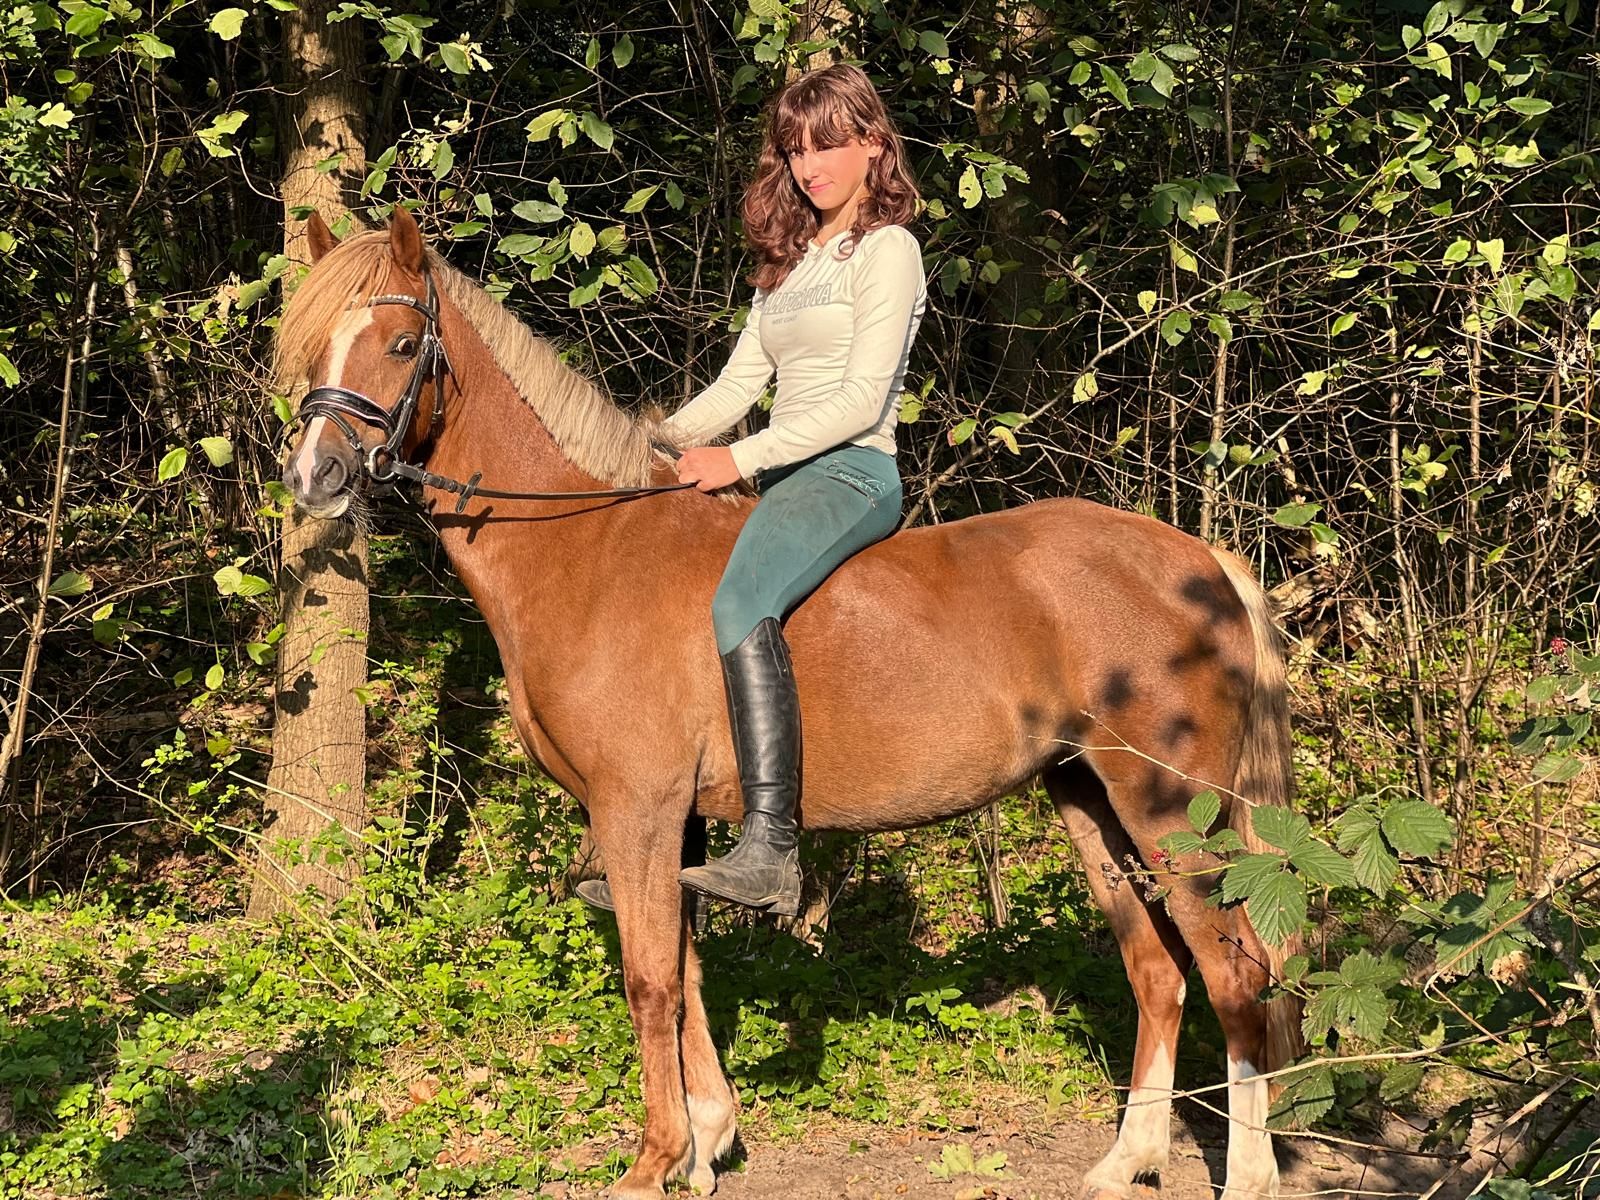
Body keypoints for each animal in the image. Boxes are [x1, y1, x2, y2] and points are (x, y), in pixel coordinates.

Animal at [277, 208, 1301, 1200]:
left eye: (402, 343)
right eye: (316, 343)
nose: (315, 476)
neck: (586, 548)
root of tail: (1199, 562)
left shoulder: (637, 809)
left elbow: (649, 979)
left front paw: (654, 1161)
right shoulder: (676, 822)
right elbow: (686, 968)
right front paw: (707, 1143)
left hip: (1172, 813)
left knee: (1235, 972)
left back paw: (1249, 1176)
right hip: (1091, 801)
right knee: (1158, 974)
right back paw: (1127, 1161)